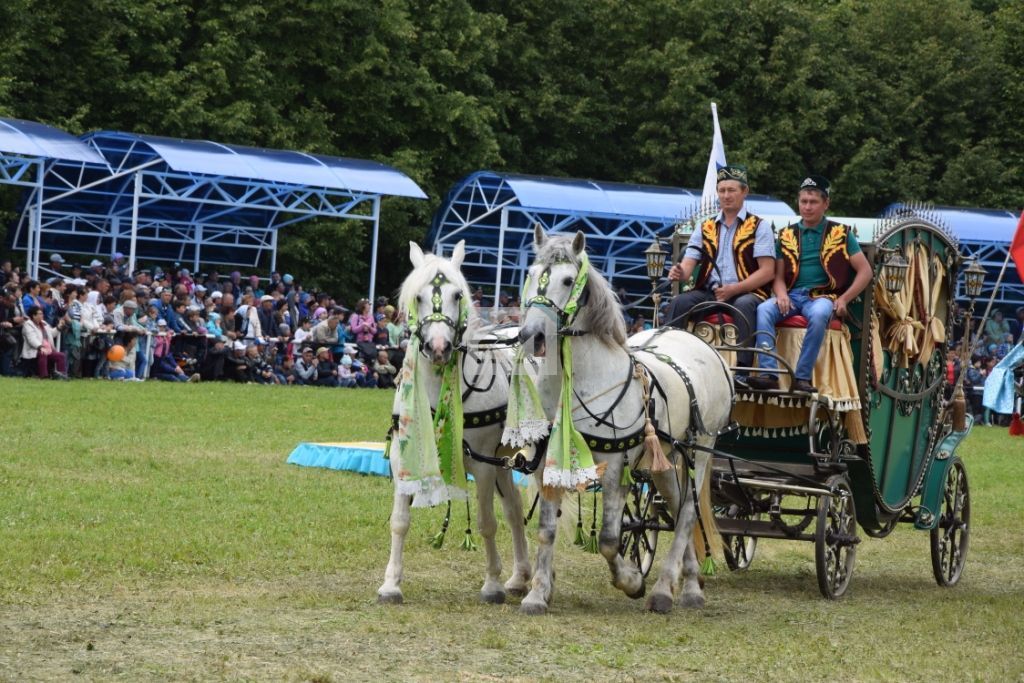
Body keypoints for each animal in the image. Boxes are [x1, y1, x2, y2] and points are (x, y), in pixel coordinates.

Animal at [380, 240, 532, 602]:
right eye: (418, 297)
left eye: (457, 295)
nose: (439, 347)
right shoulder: (404, 456)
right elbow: (399, 520)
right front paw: (391, 584)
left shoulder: (483, 464)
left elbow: (486, 522)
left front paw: (491, 584)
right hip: (505, 457)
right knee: (515, 510)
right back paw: (520, 576)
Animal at [516, 228, 733, 614]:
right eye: (531, 273)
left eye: (568, 280)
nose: (532, 336)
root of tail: (699, 341)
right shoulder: (547, 464)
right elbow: (546, 530)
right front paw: (538, 593)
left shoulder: (616, 466)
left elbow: (608, 539)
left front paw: (631, 581)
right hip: (664, 458)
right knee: (676, 504)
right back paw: (691, 582)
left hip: (701, 450)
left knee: (688, 512)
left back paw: (667, 590)